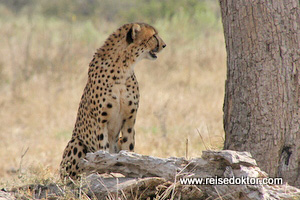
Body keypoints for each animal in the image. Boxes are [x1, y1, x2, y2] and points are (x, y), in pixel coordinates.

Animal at [59, 23, 165, 180]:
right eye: (153, 36)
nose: (164, 45)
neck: (123, 67)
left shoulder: (129, 120)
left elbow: (129, 148)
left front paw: (131, 167)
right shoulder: (101, 121)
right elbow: (102, 149)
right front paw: (104, 170)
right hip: (76, 142)